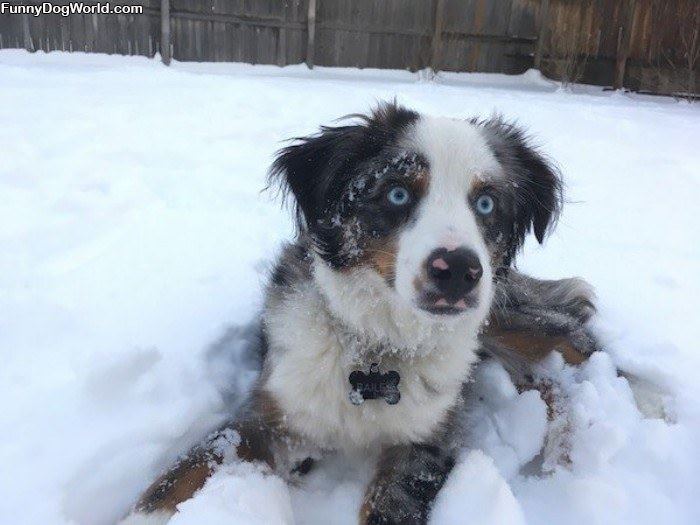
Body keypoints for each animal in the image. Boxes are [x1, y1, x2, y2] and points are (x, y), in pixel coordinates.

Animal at [124, 102, 596, 524]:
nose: (458, 271)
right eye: (397, 193)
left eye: (486, 204)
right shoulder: (270, 409)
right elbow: (184, 474)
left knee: (575, 342)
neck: (378, 344)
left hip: (501, 313)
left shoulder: (422, 443)